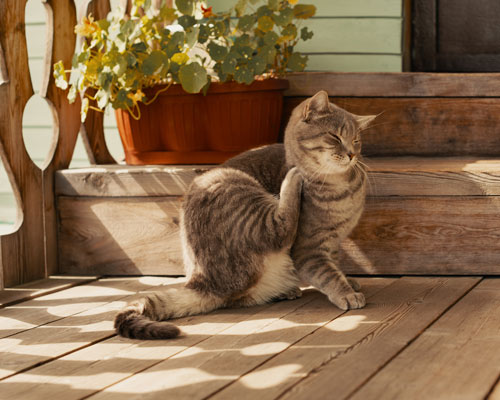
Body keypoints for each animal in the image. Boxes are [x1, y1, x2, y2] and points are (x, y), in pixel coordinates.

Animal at [115, 91, 376, 340]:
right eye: (335, 137)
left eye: (356, 140)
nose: (352, 154)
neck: (342, 188)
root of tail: (202, 282)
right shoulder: (308, 249)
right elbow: (327, 274)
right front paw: (347, 293)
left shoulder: (333, 242)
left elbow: (335, 264)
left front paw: (349, 281)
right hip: (234, 187)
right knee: (279, 229)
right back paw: (292, 179)